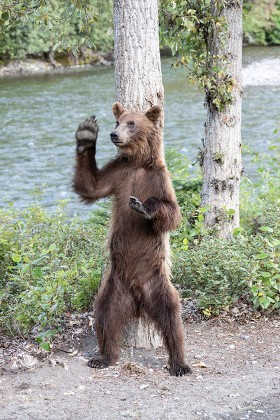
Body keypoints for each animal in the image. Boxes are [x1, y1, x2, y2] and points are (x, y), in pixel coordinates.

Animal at [74, 102, 192, 378]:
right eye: (118, 121)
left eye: (132, 123)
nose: (114, 134)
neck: (138, 162)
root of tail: (138, 299)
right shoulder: (119, 175)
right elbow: (91, 186)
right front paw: (86, 135)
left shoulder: (160, 179)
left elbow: (173, 213)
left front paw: (144, 207)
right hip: (113, 286)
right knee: (104, 315)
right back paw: (103, 357)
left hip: (157, 283)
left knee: (172, 318)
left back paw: (179, 363)